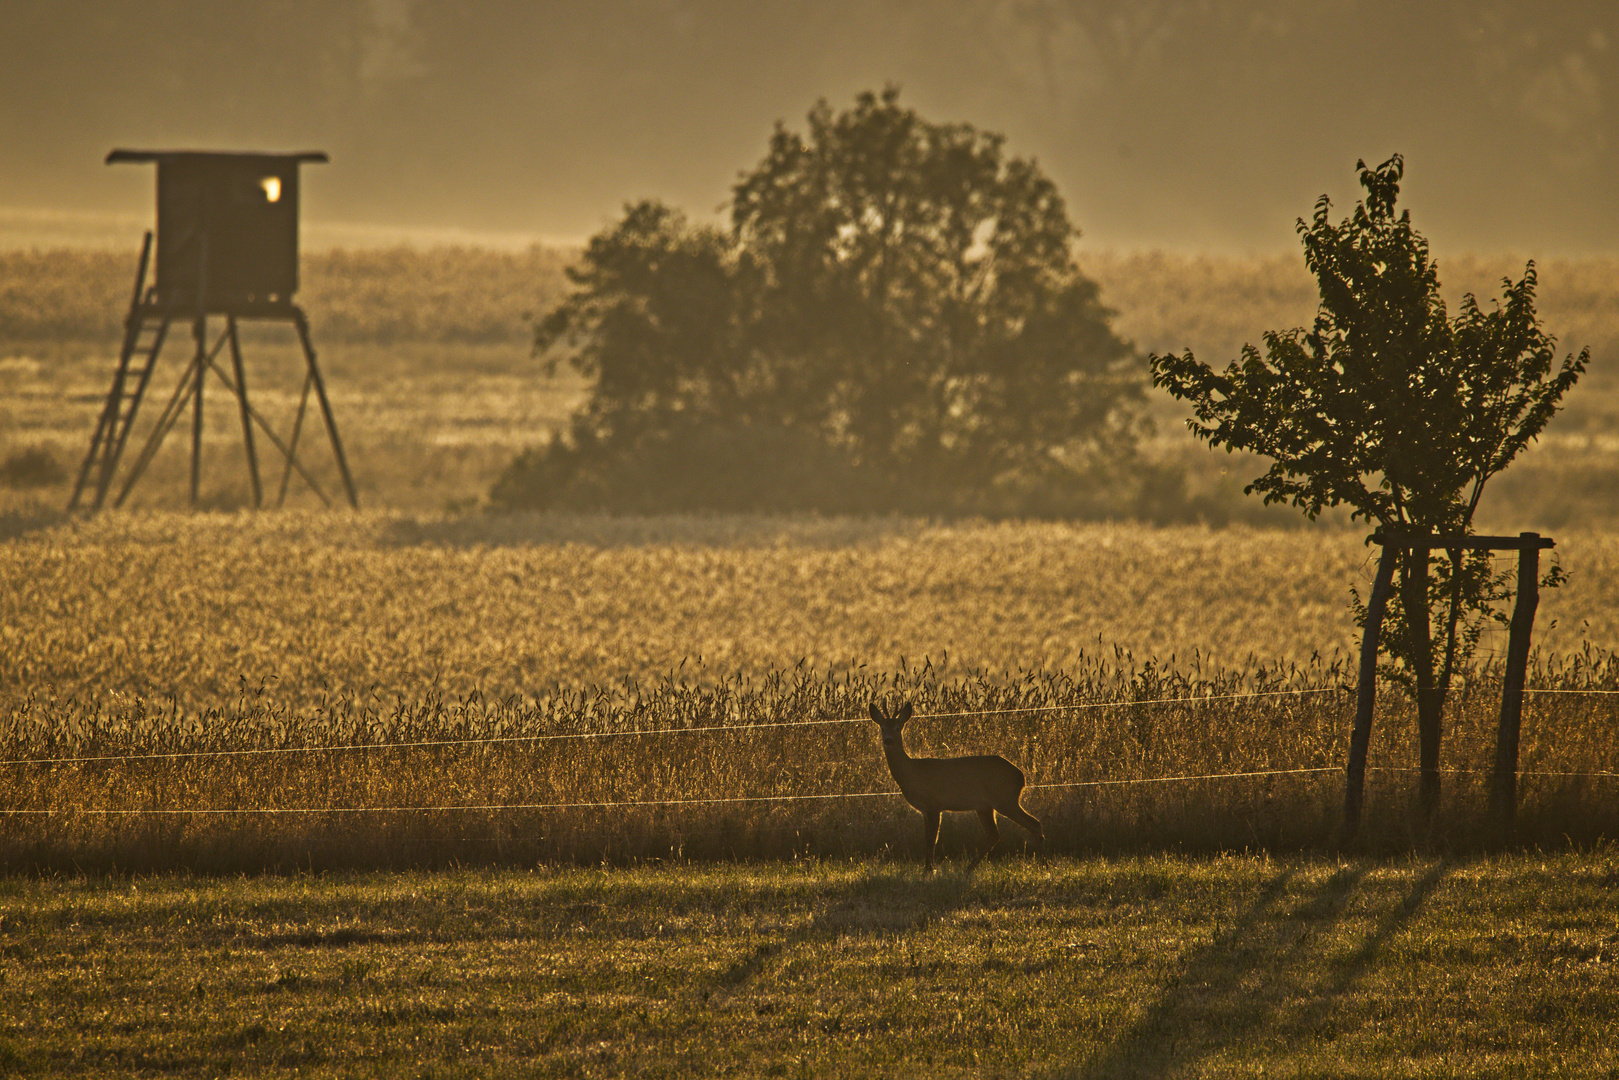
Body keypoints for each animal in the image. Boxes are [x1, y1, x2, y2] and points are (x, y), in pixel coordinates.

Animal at [867, 702, 1042, 867]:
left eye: (898, 728)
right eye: (882, 728)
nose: (888, 740)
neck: (912, 773)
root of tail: (1021, 776)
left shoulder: (934, 804)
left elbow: (932, 839)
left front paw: (929, 869)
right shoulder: (925, 810)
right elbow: (926, 838)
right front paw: (928, 867)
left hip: (1005, 799)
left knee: (1034, 823)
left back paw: (1041, 858)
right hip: (985, 806)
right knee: (994, 835)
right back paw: (969, 868)